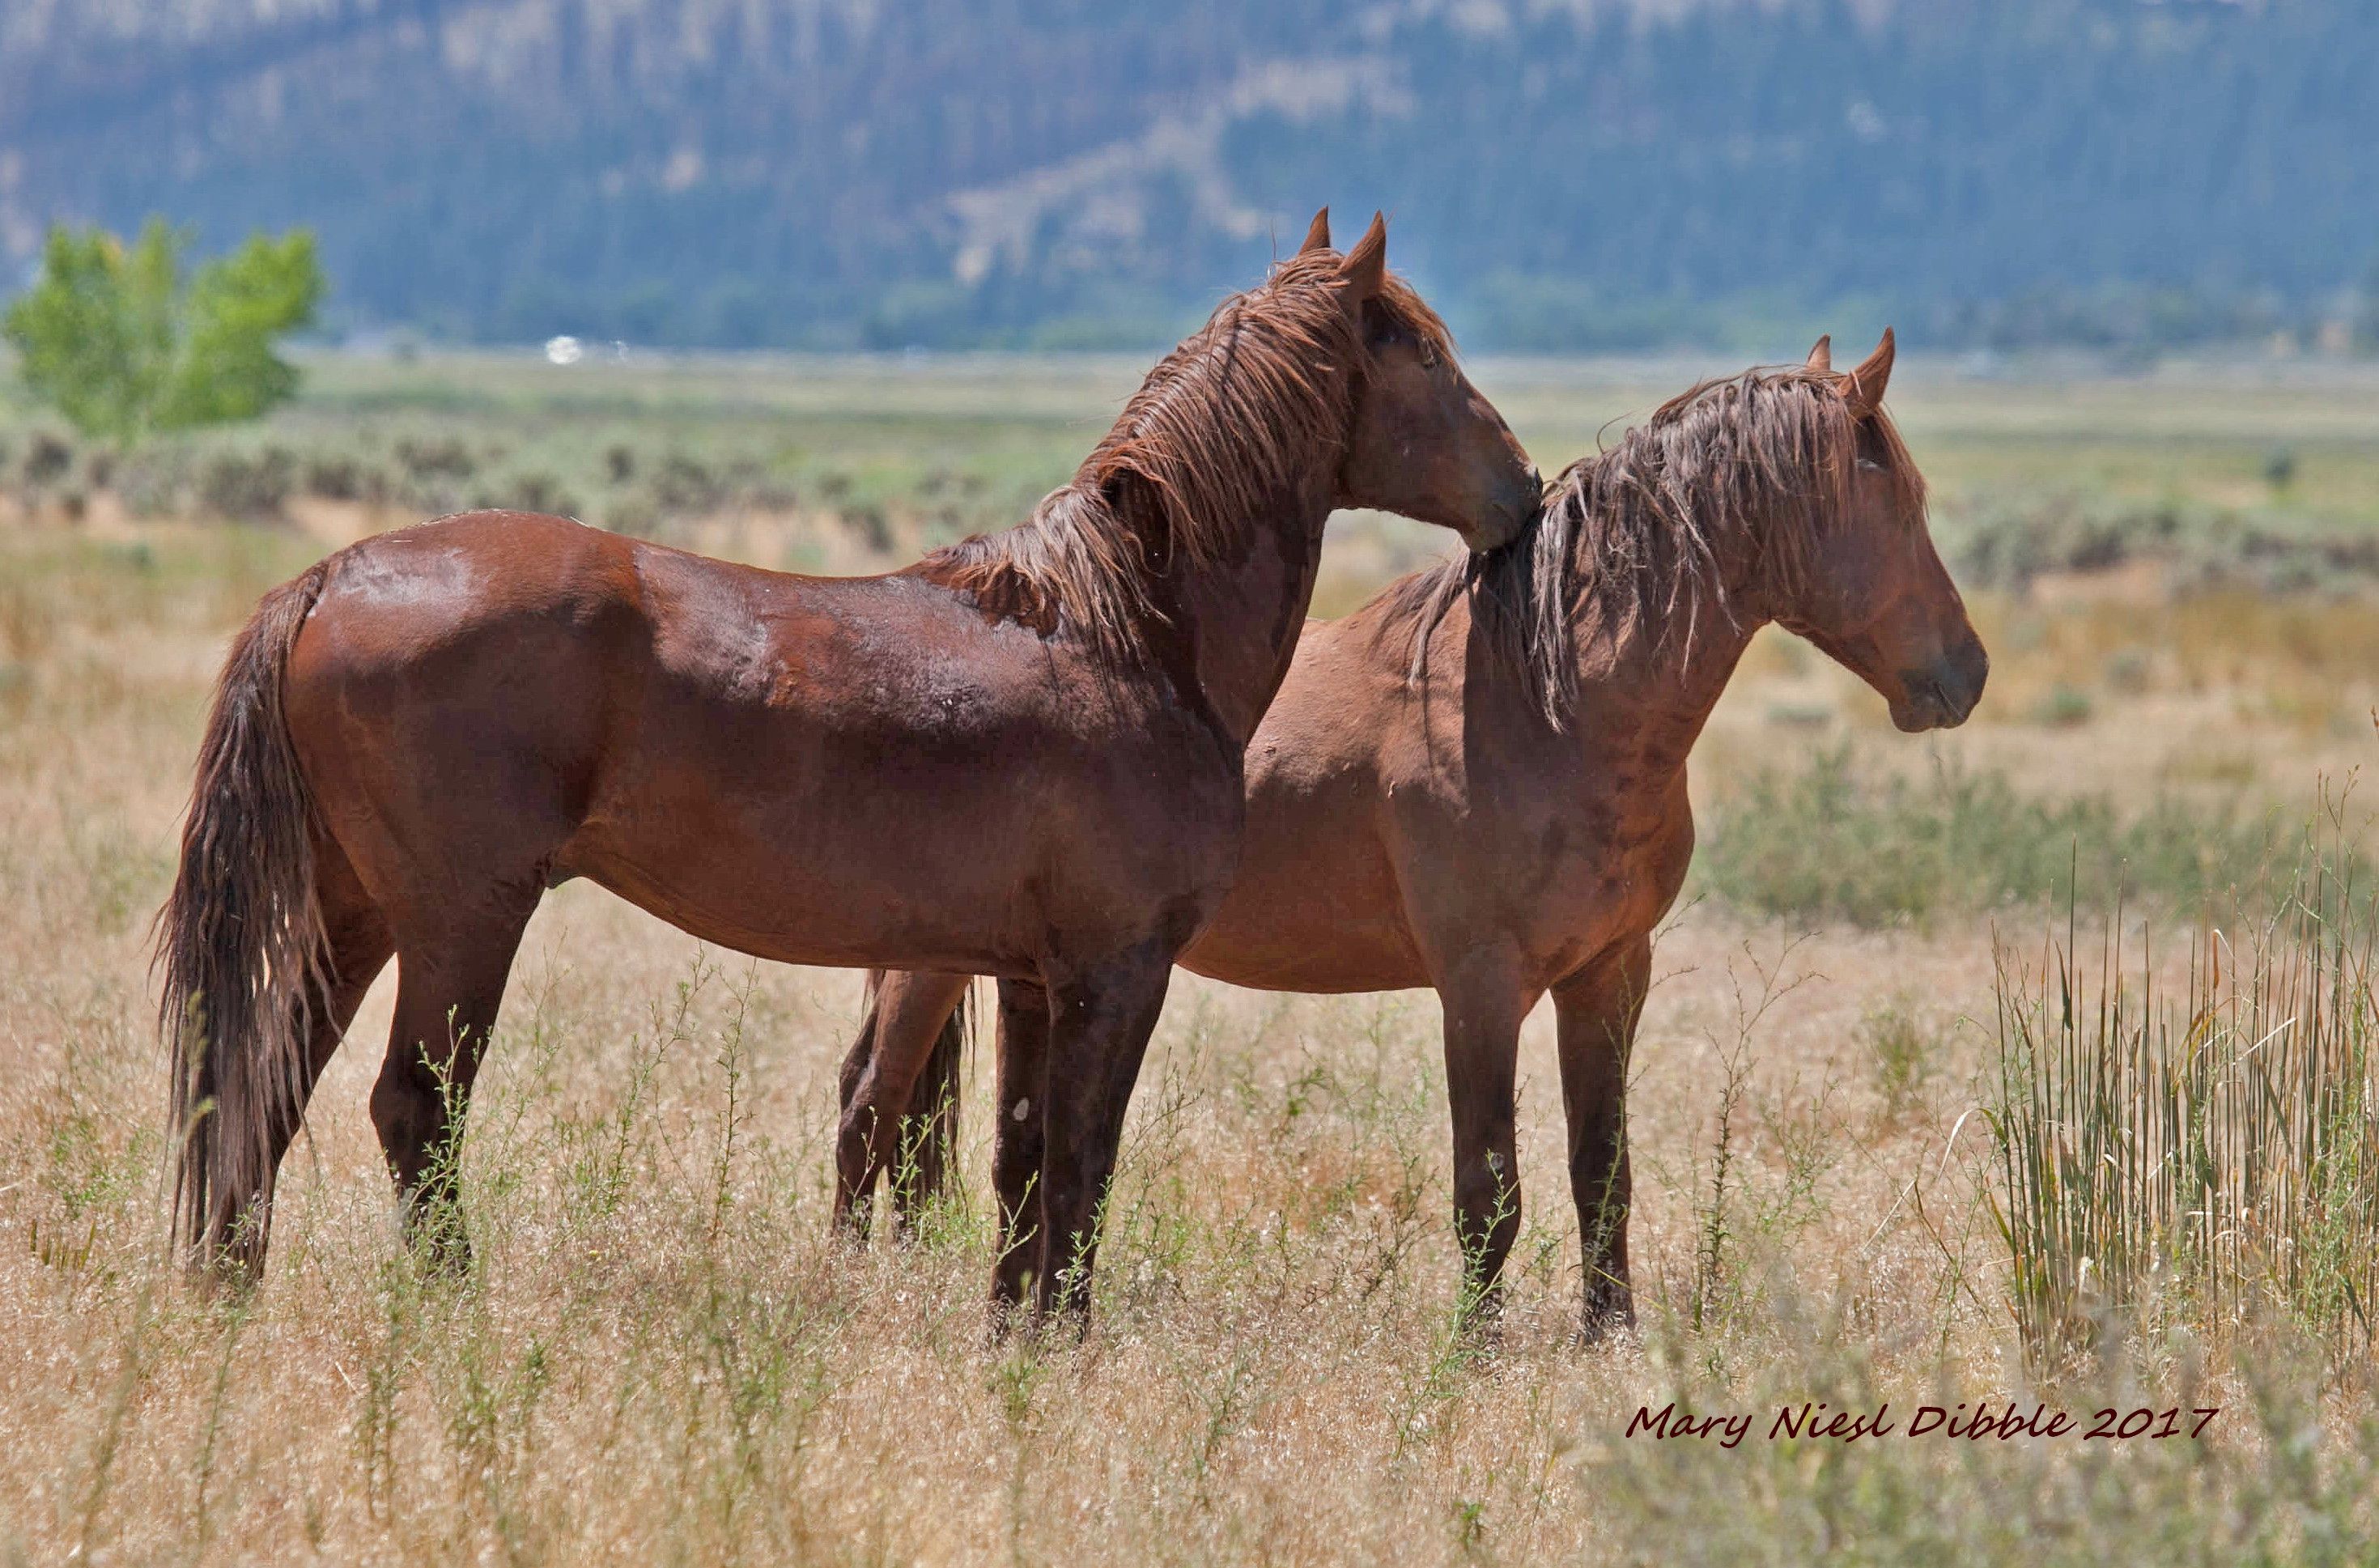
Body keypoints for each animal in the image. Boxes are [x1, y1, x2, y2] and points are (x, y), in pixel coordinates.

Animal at [158, 210, 1544, 1327]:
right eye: (1421, 352)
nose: (1523, 490)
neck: (1130, 632)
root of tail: (329, 576)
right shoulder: (1117, 970)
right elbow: (1082, 1165)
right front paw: (1067, 1344)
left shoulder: (1030, 978)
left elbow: (1023, 1164)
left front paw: (1015, 1340)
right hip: (459, 918)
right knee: (412, 1108)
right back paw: (450, 1308)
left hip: (351, 912)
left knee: (261, 1093)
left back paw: (230, 1297)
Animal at [833, 331, 1987, 1337]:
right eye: (1897, 499)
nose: (1965, 672)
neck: (1549, 700)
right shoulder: (1480, 982)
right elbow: (1489, 1186)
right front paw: (1471, 1354)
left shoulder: (1610, 973)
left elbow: (1601, 1170)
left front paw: (1608, 1336)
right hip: (927, 962)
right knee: (866, 1104)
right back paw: (844, 1283)